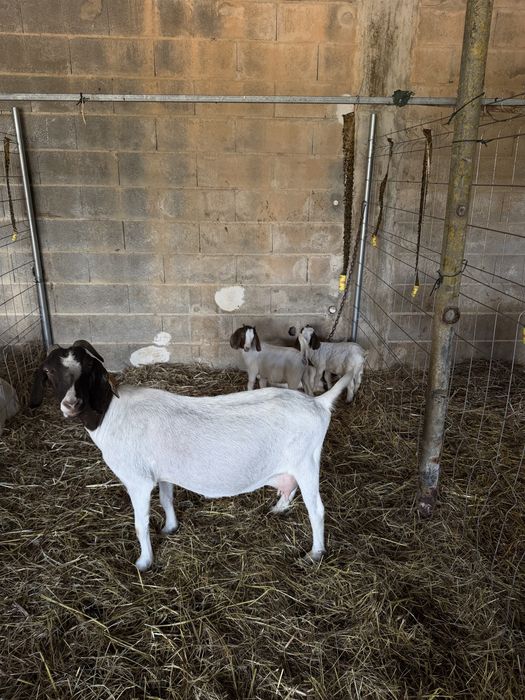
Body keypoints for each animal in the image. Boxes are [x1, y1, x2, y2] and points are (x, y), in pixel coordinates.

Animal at [30, 339, 354, 571]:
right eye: (49, 371)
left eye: (87, 369)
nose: (71, 405)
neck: (111, 413)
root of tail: (319, 404)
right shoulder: (161, 471)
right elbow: (166, 499)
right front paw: (170, 527)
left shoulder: (137, 480)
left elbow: (140, 523)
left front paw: (143, 563)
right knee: (290, 489)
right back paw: (277, 509)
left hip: (307, 462)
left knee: (316, 509)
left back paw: (314, 554)